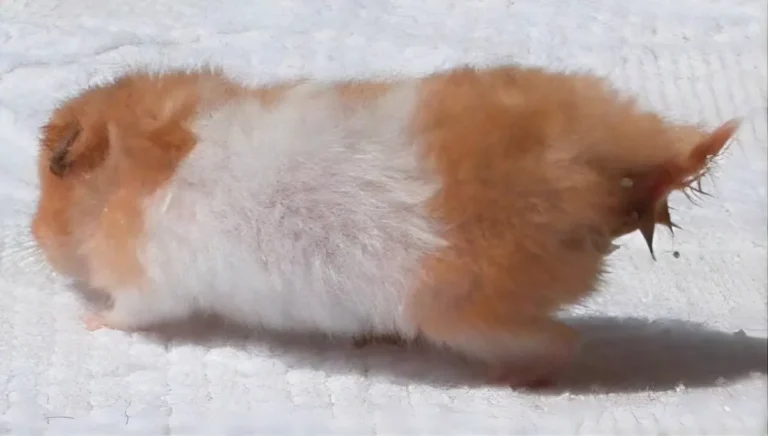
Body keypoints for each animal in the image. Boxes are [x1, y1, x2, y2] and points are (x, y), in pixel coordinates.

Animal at [30, 65, 739, 388]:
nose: (33, 236)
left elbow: (127, 314)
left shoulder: (149, 288)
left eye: (49, 178)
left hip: (472, 321)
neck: (128, 170)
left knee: (563, 345)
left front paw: (87, 321)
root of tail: (599, 184)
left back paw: (514, 385)